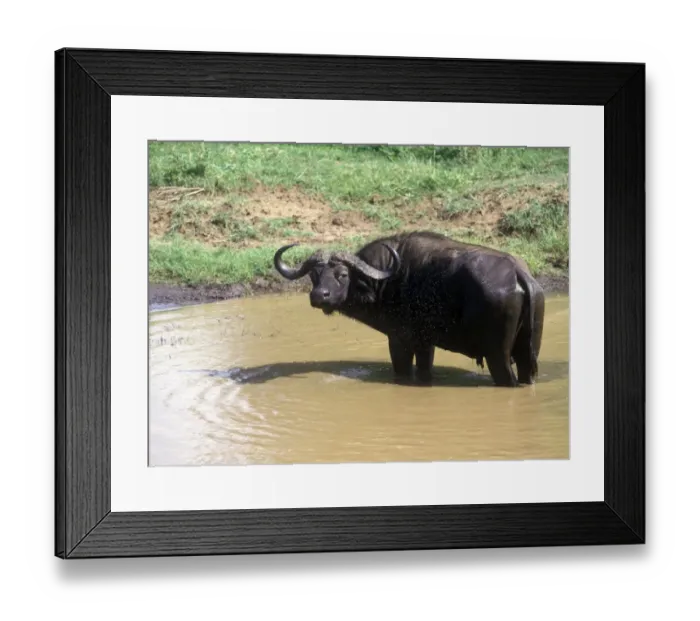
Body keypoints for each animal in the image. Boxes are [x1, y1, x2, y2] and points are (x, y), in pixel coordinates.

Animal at [273, 231, 545, 387]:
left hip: (498, 355)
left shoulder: (401, 339)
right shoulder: (426, 343)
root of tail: (518, 273)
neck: (387, 278)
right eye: (314, 275)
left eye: (342, 274)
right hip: (527, 353)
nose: (319, 296)